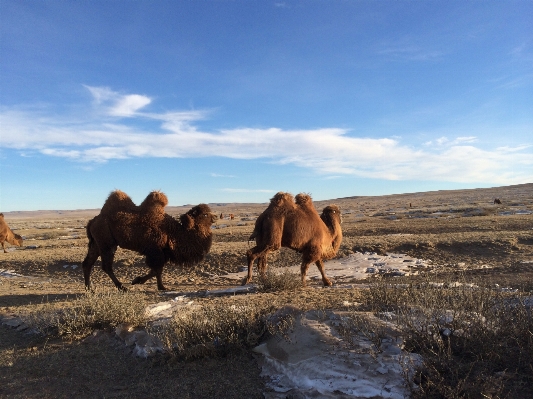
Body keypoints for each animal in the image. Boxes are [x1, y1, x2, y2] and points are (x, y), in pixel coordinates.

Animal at [82, 191, 215, 290]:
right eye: (205, 215)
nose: (215, 217)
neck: (173, 232)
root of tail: (92, 221)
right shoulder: (155, 251)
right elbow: (157, 269)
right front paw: (145, 283)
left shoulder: (162, 252)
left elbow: (156, 270)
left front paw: (147, 283)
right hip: (107, 245)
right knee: (106, 266)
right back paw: (121, 287)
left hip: (96, 244)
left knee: (87, 263)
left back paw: (90, 288)